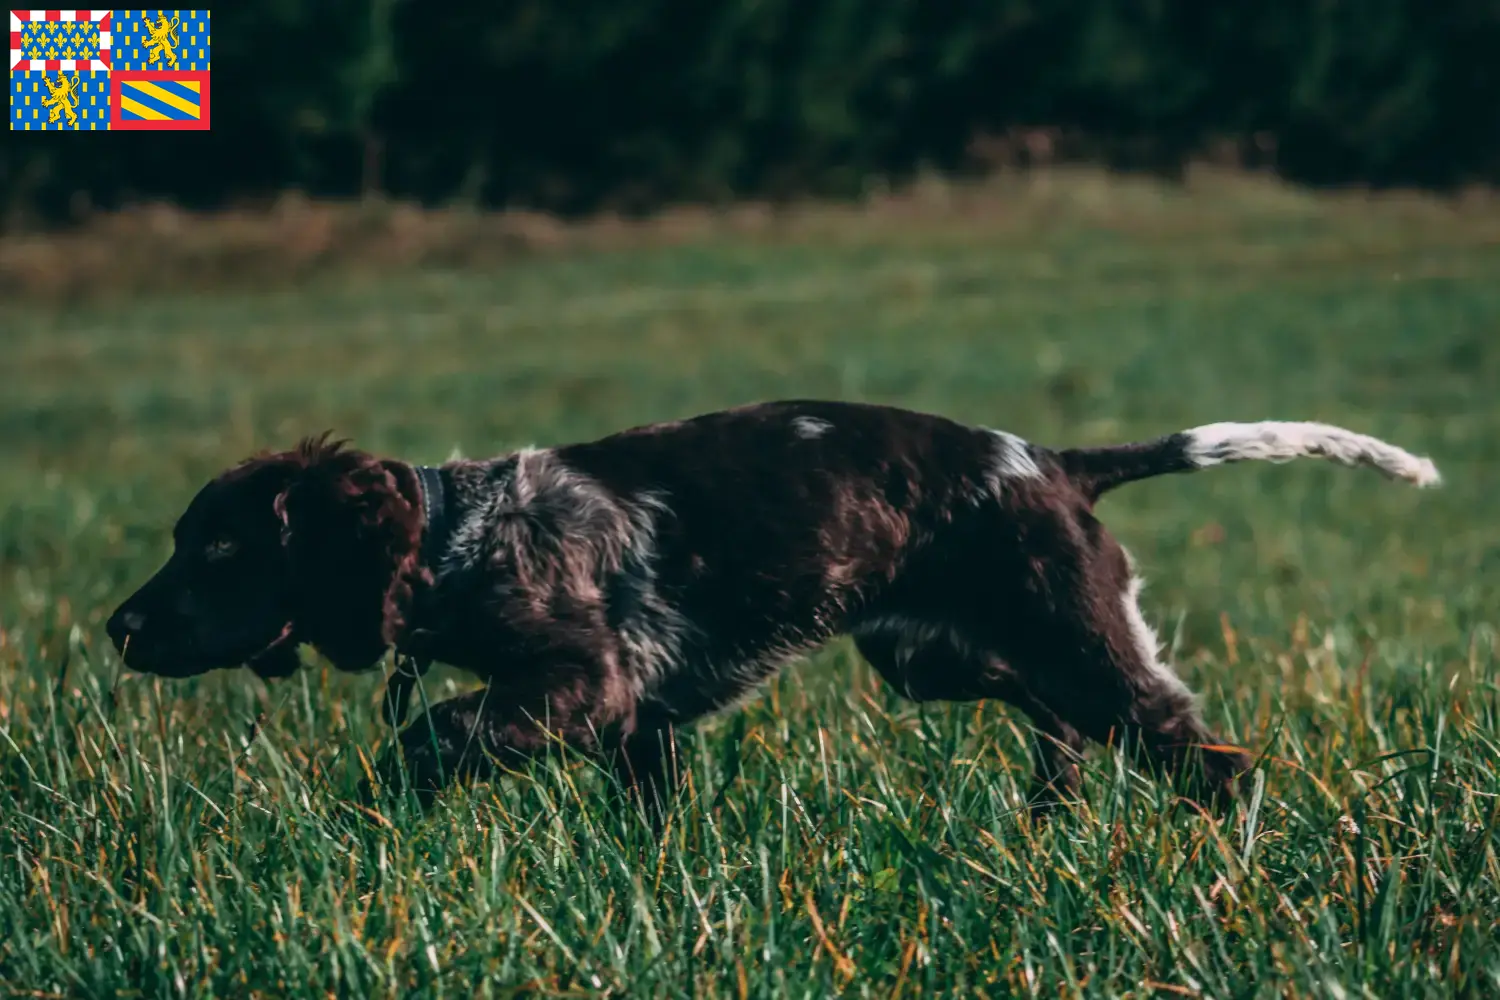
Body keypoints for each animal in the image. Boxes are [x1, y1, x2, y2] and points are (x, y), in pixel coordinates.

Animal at [105, 398, 1440, 815]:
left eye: (216, 546)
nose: (116, 627)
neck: (457, 537)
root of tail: (1056, 464)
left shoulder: (583, 680)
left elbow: (436, 730)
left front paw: (379, 808)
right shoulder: (637, 726)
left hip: (1075, 644)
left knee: (1210, 758)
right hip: (940, 654)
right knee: (1066, 724)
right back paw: (1048, 814)